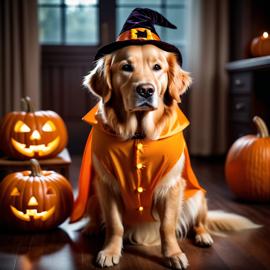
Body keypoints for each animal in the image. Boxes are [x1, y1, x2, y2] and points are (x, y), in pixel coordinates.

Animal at [81, 43, 258, 268]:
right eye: (126, 67)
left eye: (157, 67)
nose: (146, 90)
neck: (138, 135)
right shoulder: (106, 185)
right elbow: (115, 224)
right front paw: (110, 251)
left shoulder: (172, 186)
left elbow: (167, 226)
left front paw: (173, 254)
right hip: (94, 195)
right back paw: (91, 228)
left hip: (198, 196)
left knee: (199, 223)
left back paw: (203, 236)